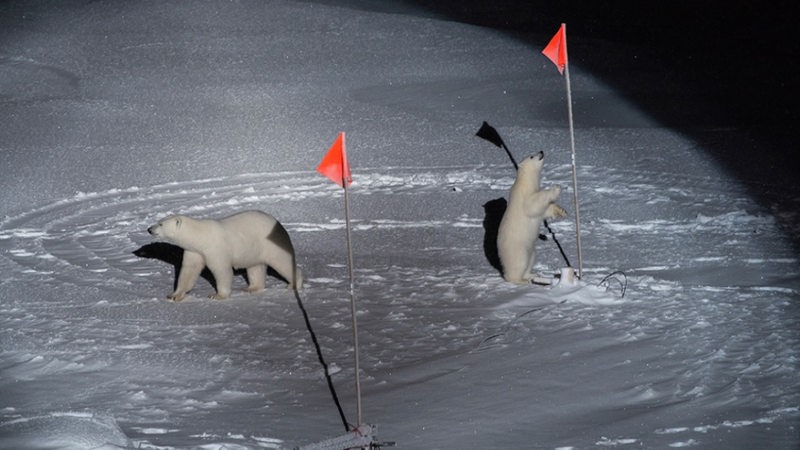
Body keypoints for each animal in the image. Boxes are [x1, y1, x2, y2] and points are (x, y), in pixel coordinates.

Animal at [148, 210, 304, 300]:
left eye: (161, 224)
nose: (149, 229)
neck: (200, 236)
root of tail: (278, 224)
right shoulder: (194, 251)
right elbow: (188, 271)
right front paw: (174, 295)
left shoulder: (215, 248)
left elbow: (222, 270)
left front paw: (217, 295)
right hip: (254, 248)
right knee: (255, 267)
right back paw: (251, 288)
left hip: (270, 244)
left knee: (282, 261)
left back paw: (294, 284)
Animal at [496, 152, 564, 284]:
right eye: (531, 156)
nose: (541, 151)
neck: (525, 181)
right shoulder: (523, 195)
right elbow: (533, 204)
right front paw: (556, 188)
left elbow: (544, 211)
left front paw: (562, 211)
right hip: (517, 249)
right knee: (519, 264)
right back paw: (520, 280)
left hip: (531, 250)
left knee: (530, 260)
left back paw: (531, 275)